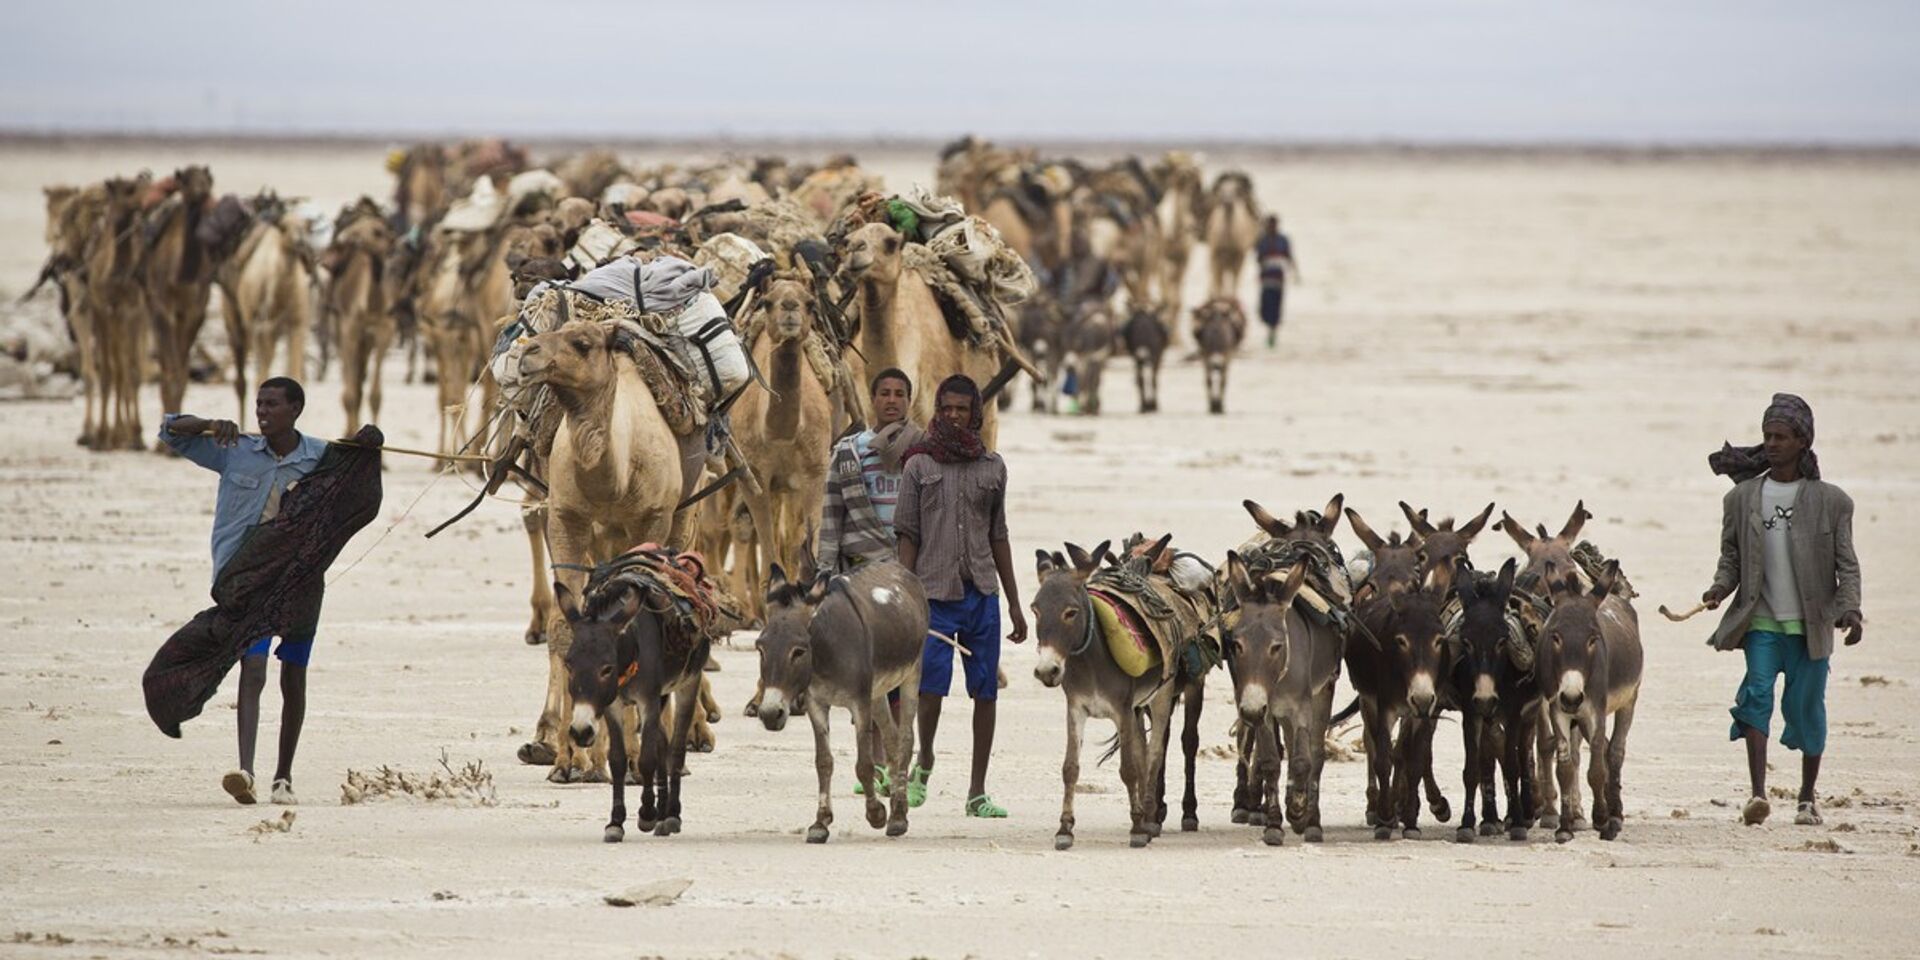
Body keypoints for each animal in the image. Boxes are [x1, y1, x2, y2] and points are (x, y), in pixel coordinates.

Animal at [140, 167, 216, 433]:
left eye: (208, 179)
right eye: (185, 180)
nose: (201, 191)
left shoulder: (195, 313)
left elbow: (182, 373)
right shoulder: (163, 310)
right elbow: (172, 371)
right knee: (164, 366)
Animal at [216, 198, 312, 420]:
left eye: (305, 227)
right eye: (284, 227)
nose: (300, 242)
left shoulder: (296, 324)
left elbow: (293, 375)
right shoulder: (260, 328)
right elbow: (260, 378)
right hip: (237, 324)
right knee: (242, 381)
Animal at [518, 318, 706, 783]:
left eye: (582, 343)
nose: (528, 352)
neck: (614, 478)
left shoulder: (652, 520)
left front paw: (639, 759)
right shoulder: (566, 520)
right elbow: (567, 627)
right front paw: (568, 759)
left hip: (684, 517)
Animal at [725, 276, 833, 614]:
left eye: (810, 303)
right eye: (768, 301)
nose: (789, 307)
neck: (782, 434)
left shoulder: (815, 473)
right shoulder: (755, 476)